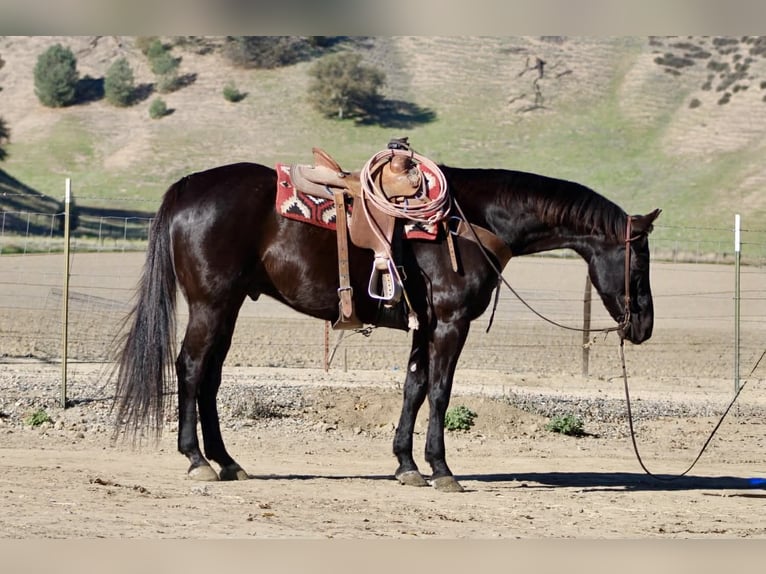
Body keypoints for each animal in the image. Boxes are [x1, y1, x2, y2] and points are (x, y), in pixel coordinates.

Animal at [113, 159, 661, 492]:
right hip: (210, 304)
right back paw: (197, 460)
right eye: (640, 261)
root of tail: (189, 187)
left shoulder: (426, 326)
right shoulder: (450, 325)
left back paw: (227, 461)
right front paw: (441, 470)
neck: (473, 220)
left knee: (210, 376)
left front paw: (406, 465)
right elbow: (439, 391)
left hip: (226, 307)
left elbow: (413, 388)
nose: (644, 326)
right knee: (190, 368)